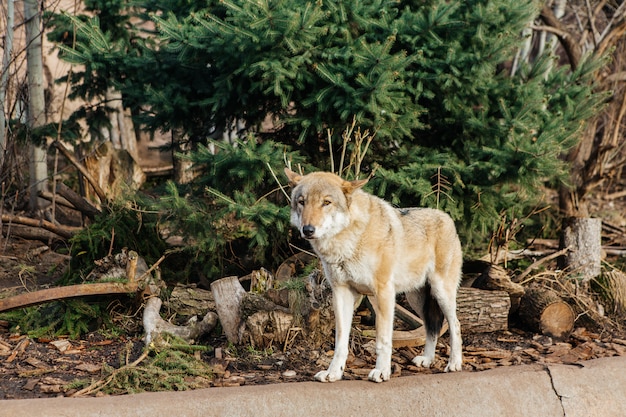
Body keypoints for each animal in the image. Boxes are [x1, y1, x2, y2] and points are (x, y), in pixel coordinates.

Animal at [286, 168, 460, 380]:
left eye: (326, 202)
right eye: (302, 202)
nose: (308, 229)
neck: (348, 242)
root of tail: (447, 217)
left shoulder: (383, 293)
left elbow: (383, 340)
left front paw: (382, 371)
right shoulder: (341, 293)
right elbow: (340, 342)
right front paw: (333, 373)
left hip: (441, 293)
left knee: (455, 325)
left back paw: (454, 363)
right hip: (417, 300)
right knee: (431, 327)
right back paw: (427, 360)